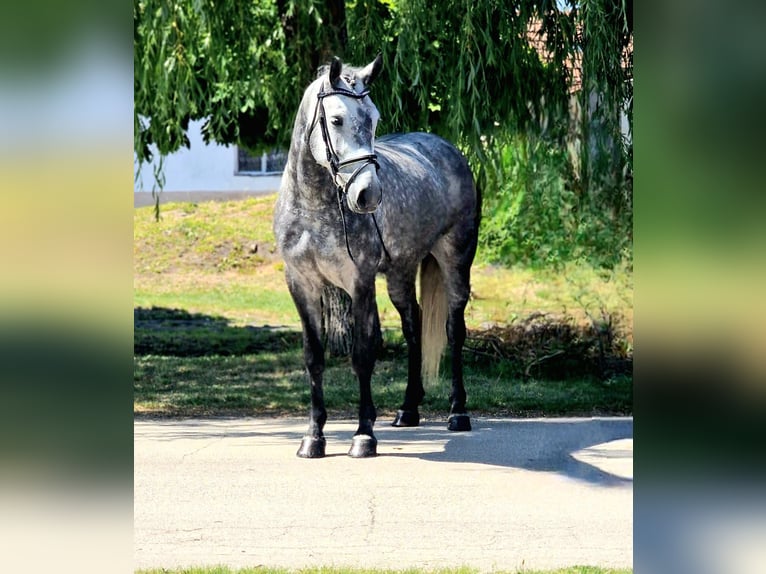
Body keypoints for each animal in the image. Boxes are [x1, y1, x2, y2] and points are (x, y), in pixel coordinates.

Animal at [273, 54, 481, 458]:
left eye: (374, 118)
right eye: (336, 119)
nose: (368, 194)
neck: (313, 206)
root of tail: (448, 150)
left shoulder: (360, 282)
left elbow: (362, 354)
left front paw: (363, 435)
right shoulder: (301, 284)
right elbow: (314, 357)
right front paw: (313, 438)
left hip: (455, 261)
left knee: (454, 330)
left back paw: (457, 412)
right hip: (400, 273)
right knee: (414, 324)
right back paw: (408, 409)